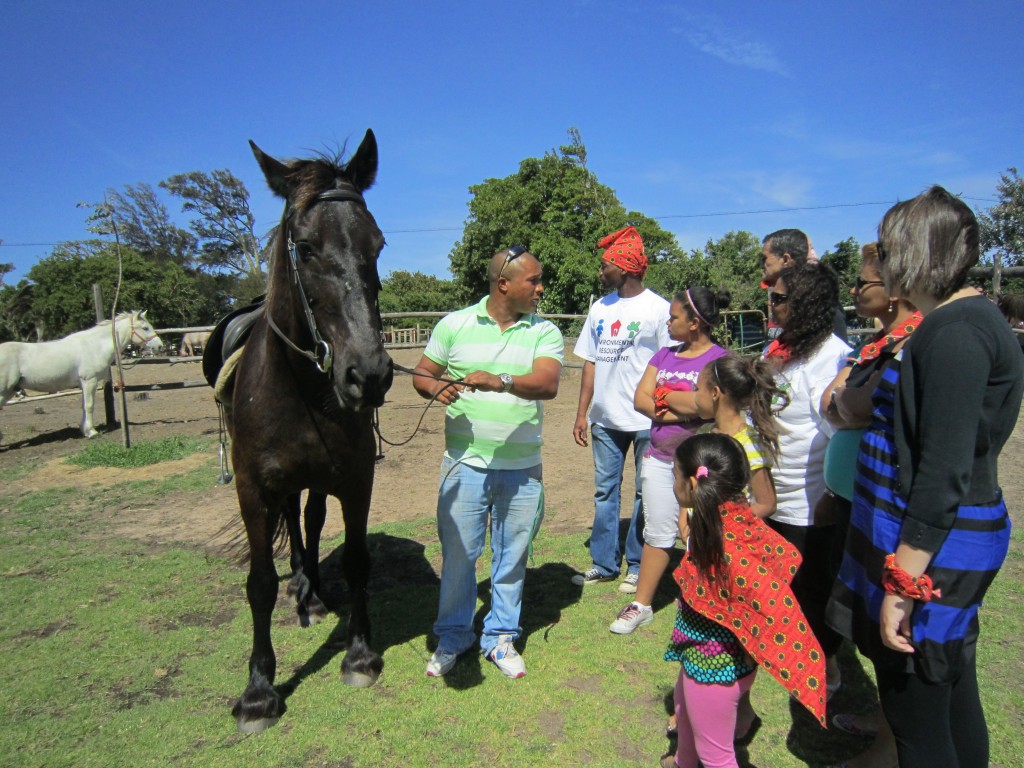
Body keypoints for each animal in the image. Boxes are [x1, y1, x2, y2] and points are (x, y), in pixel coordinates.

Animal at [0, 309, 163, 438]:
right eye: (145, 328)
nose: (160, 346)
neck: (94, 345)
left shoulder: (84, 384)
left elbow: (84, 405)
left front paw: (84, 430)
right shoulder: (89, 381)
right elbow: (89, 405)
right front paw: (91, 432)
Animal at [223, 132, 391, 733]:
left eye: (377, 244)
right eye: (305, 247)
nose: (369, 374)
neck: (298, 387)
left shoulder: (357, 478)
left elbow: (357, 560)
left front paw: (359, 655)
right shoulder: (252, 488)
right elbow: (259, 584)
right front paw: (257, 690)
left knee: (310, 520)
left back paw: (313, 593)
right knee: (293, 528)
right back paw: (302, 589)